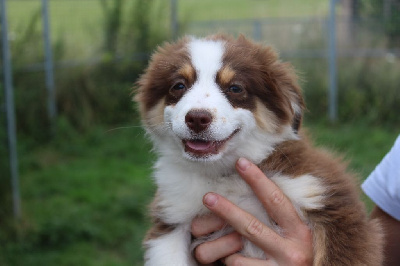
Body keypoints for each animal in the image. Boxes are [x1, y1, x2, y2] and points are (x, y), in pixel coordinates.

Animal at [136, 34, 382, 264]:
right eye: (179, 85)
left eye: (235, 88)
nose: (197, 118)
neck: (221, 175)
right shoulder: (171, 218)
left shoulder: (328, 199)